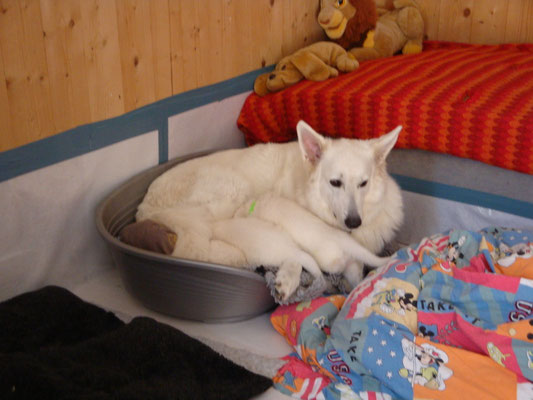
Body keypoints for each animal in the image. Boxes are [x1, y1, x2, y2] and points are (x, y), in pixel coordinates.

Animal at [136, 120, 404, 301]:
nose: (354, 222)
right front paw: (287, 279)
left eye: (363, 183)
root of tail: (143, 208)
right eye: (335, 182)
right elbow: (297, 258)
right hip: (232, 190)